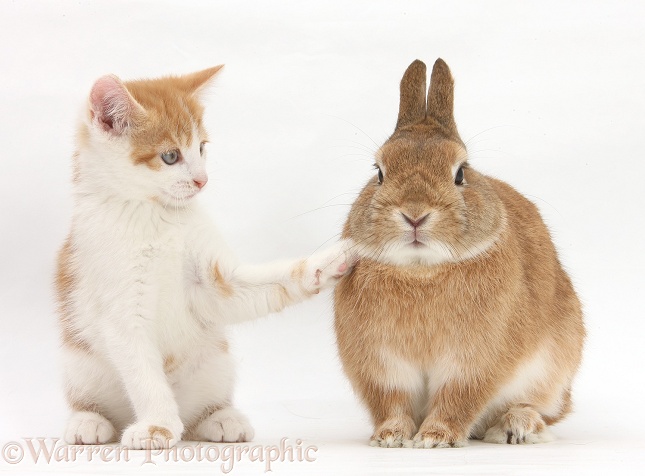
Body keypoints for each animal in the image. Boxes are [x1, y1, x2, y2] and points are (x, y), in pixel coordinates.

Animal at [56, 66, 352, 450]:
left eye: (201, 148)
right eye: (170, 156)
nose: (202, 180)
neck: (156, 215)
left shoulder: (213, 280)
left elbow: (250, 288)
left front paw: (331, 261)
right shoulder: (119, 307)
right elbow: (143, 371)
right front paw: (158, 425)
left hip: (215, 362)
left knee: (202, 408)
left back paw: (221, 417)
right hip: (79, 364)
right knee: (91, 399)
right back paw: (89, 421)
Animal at [334, 57, 588, 448]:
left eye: (460, 173)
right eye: (379, 172)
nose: (415, 214)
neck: (421, 270)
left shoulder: (472, 364)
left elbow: (457, 398)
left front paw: (435, 438)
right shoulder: (382, 365)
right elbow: (393, 402)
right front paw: (391, 437)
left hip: (552, 372)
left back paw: (516, 426)